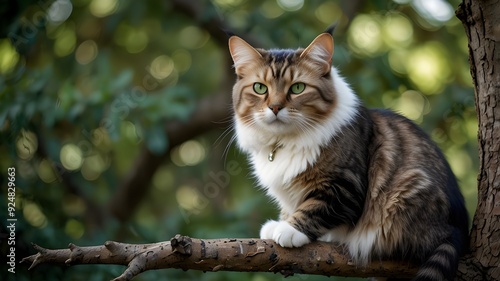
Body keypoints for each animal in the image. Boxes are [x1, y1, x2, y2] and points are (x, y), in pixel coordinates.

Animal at [229, 29, 470, 280]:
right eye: (260, 88)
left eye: (297, 88)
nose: (275, 107)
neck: (283, 142)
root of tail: (458, 231)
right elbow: (292, 208)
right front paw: (280, 222)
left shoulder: (344, 186)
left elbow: (314, 209)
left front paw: (288, 229)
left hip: (407, 190)